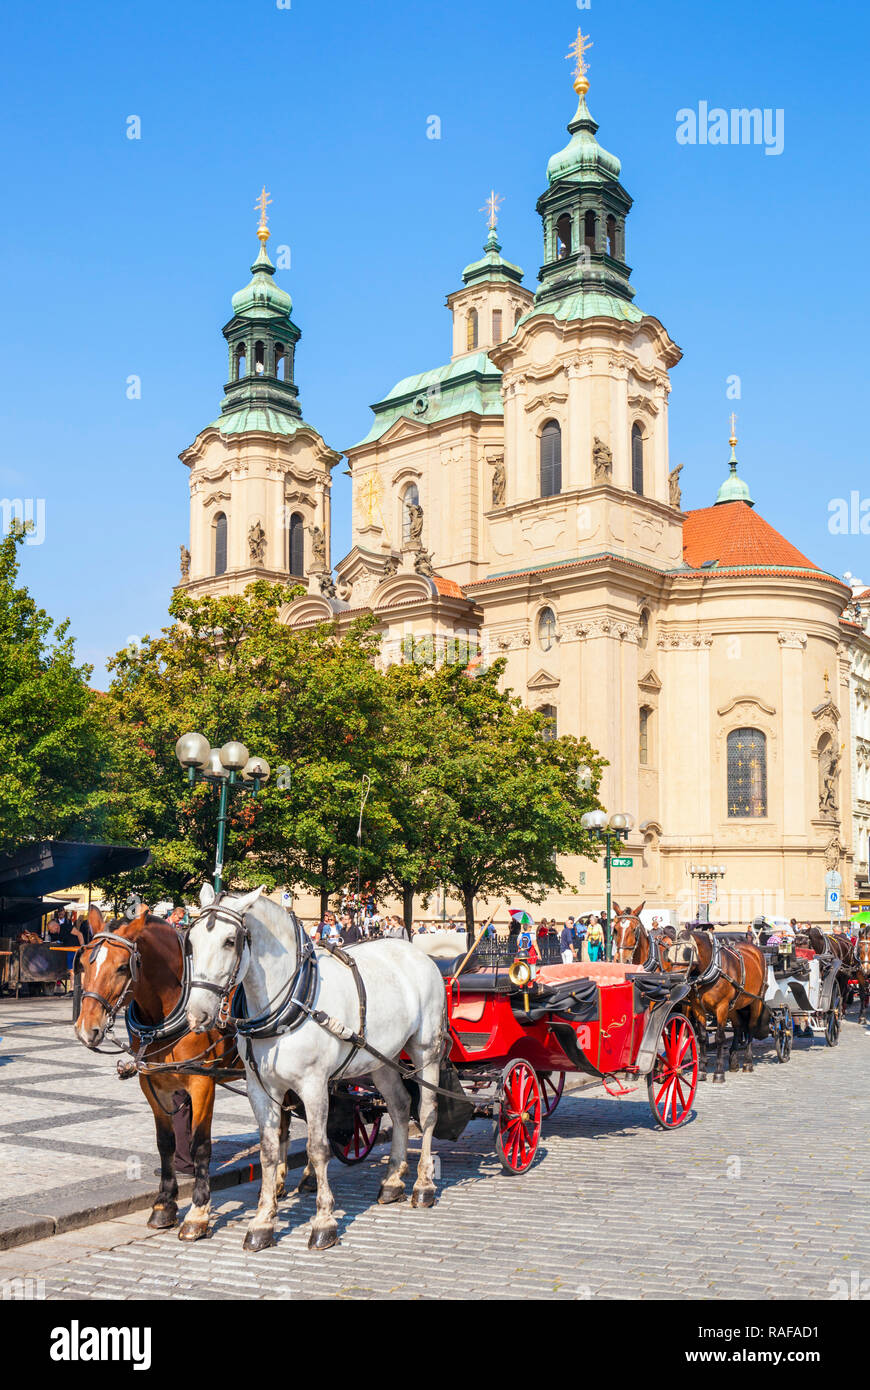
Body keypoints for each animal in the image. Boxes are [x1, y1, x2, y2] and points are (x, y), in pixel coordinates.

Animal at [73, 906, 240, 1245]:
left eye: (122, 967)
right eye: (83, 963)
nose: (86, 1030)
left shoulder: (202, 1082)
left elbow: (200, 1144)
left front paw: (198, 1214)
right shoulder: (152, 1083)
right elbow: (166, 1142)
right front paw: (164, 1205)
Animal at [184, 884, 444, 1256]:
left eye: (230, 941)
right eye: (190, 943)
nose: (198, 1015)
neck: (289, 1003)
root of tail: (415, 951)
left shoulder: (314, 1084)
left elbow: (318, 1148)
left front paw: (323, 1222)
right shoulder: (260, 1088)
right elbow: (268, 1151)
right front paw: (262, 1223)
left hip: (425, 1051)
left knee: (426, 1112)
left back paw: (423, 1185)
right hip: (381, 1058)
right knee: (398, 1106)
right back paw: (393, 1180)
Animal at [664, 934, 767, 1084]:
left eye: (687, 954)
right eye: (669, 955)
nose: (674, 980)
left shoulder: (722, 1007)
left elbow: (719, 1037)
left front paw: (719, 1073)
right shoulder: (698, 1007)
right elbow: (701, 1038)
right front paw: (701, 1071)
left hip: (756, 1000)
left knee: (751, 1027)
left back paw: (748, 1063)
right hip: (734, 1006)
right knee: (738, 1026)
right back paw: (734, 1061)